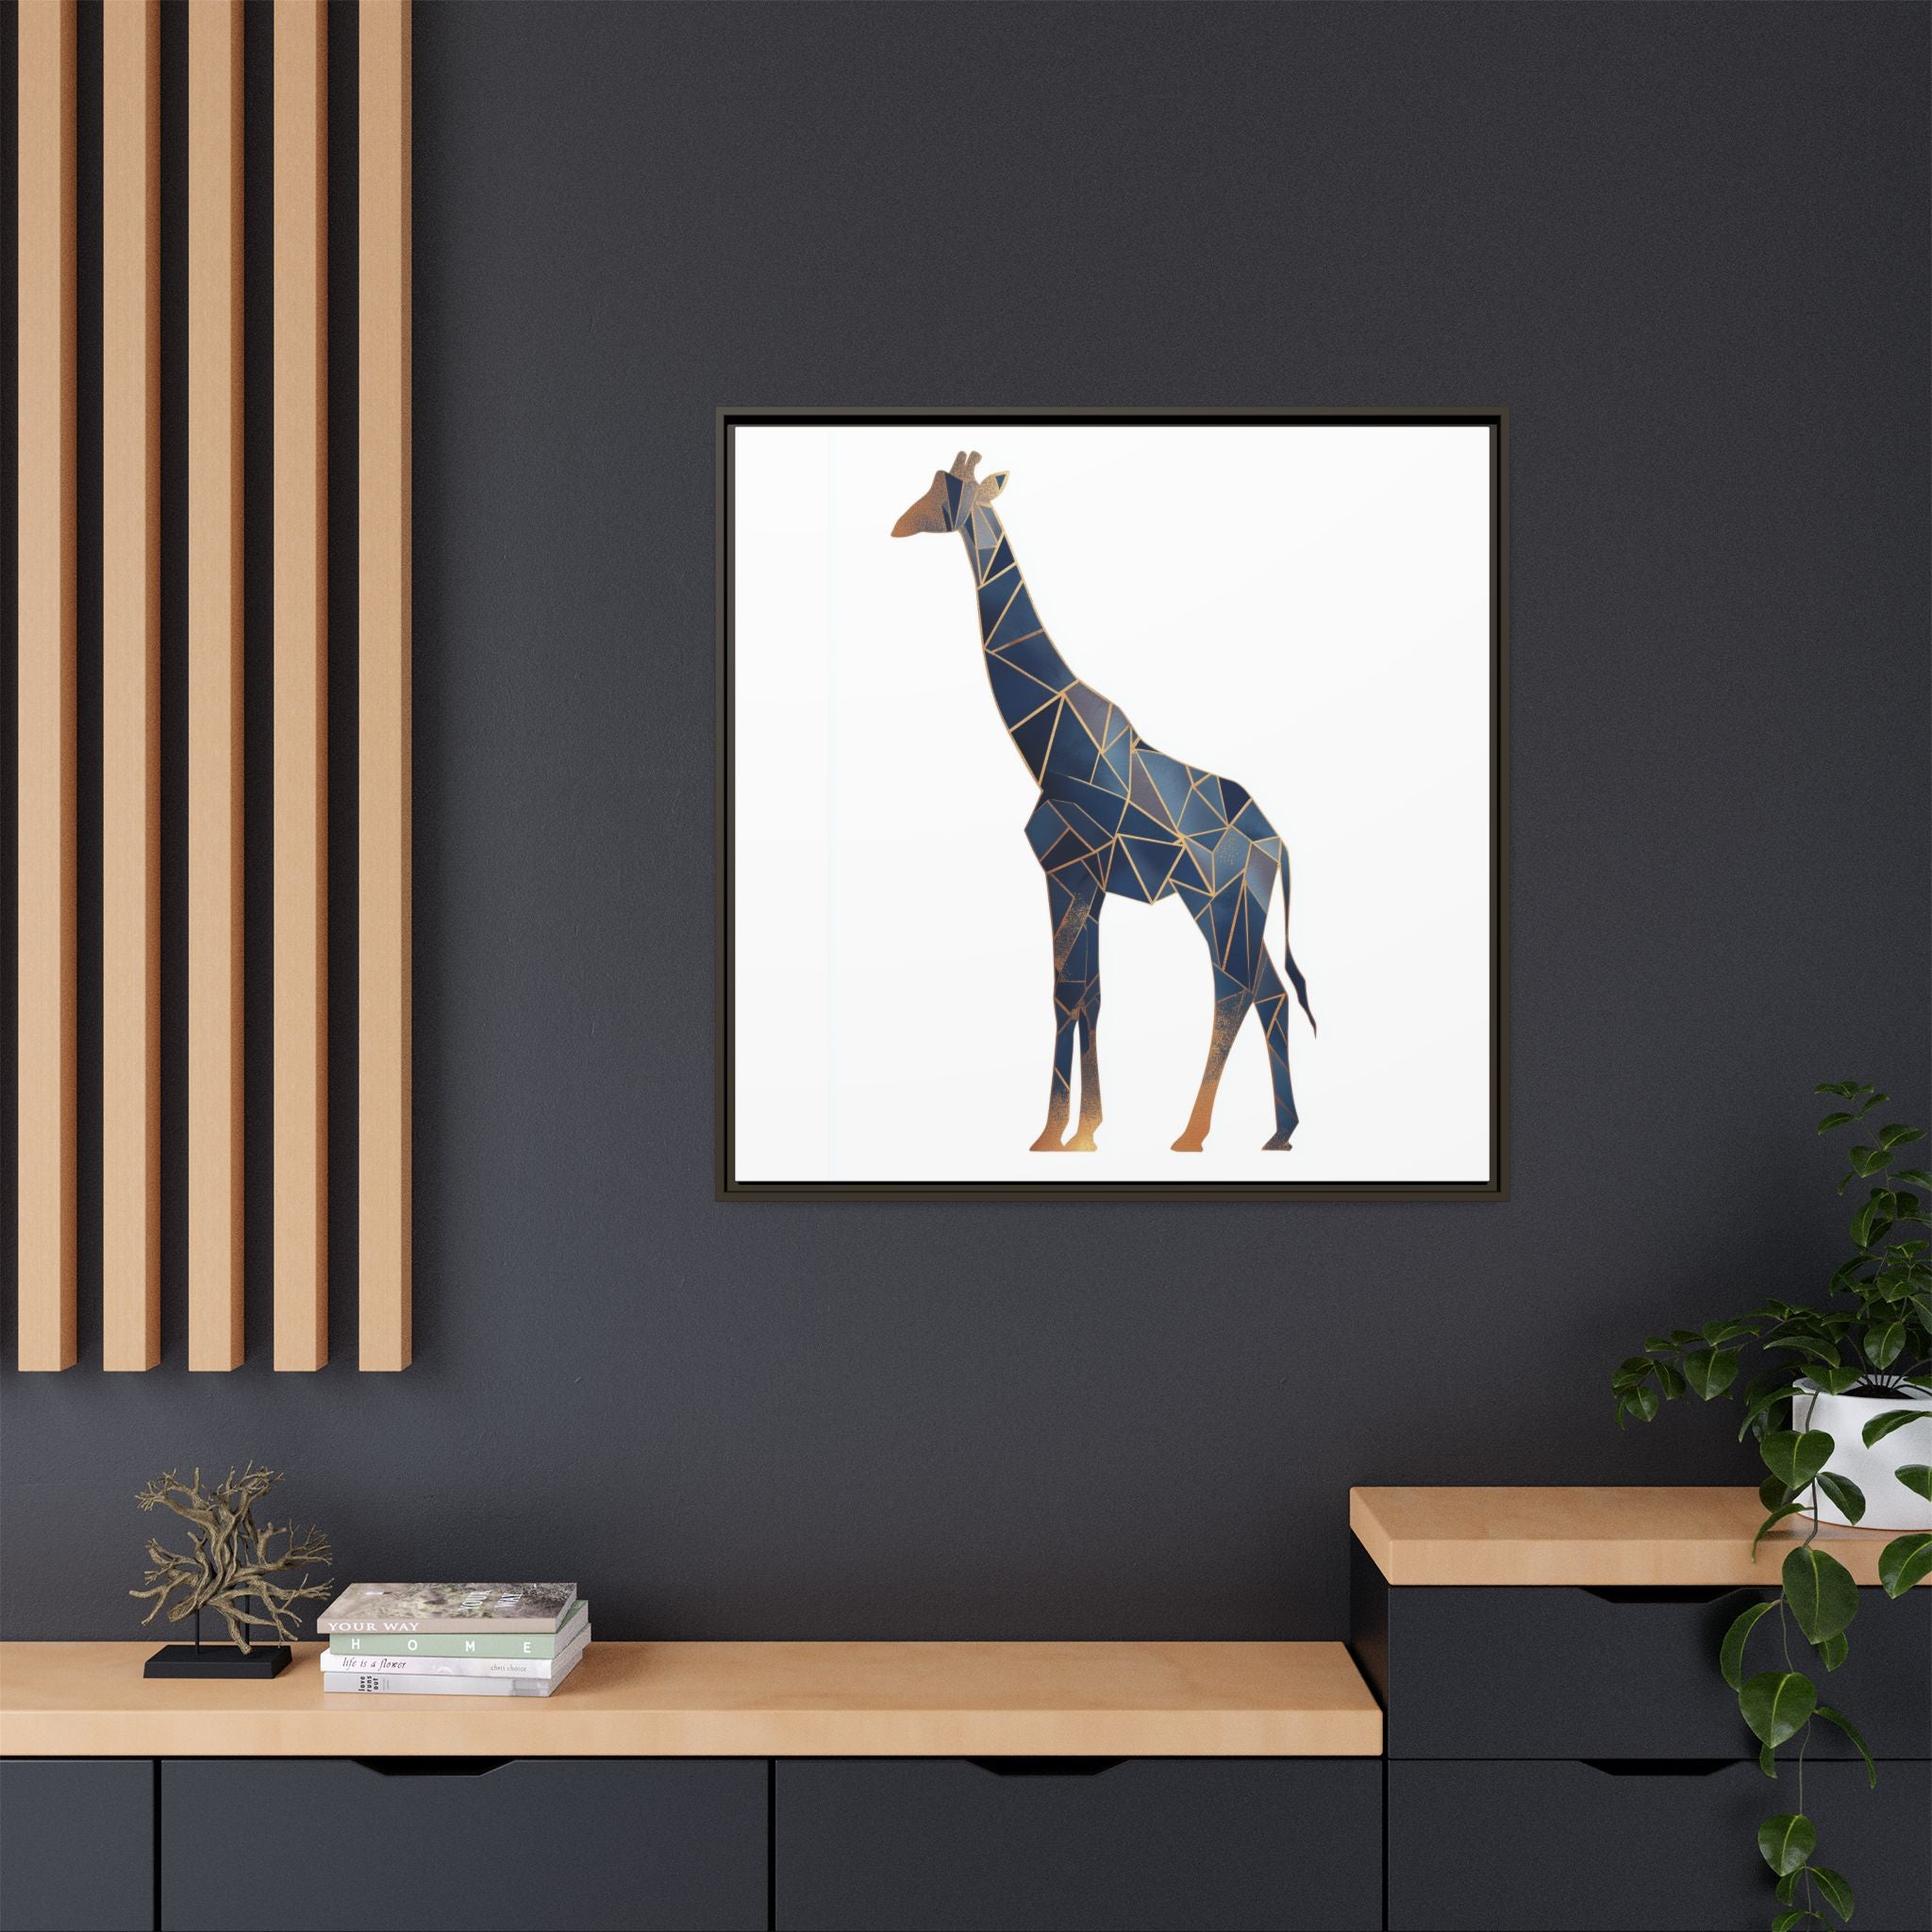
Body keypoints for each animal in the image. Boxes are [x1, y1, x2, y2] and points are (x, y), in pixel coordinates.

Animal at [893, 451, 1315, 1154]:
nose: (900, 524)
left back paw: (1194, 1135)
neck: (1049, 744)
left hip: (1218, 901)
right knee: (1268, 994)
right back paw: (1278, 1133)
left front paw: (1061, 1133)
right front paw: (1076, 1131)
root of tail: (1277, 844)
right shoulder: (1082, 882)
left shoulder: (1069, 872)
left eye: (947, 493)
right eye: (930, 485)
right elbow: (1085, 994)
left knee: (1236, 991)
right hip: (1238, 907)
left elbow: (1069, 994)